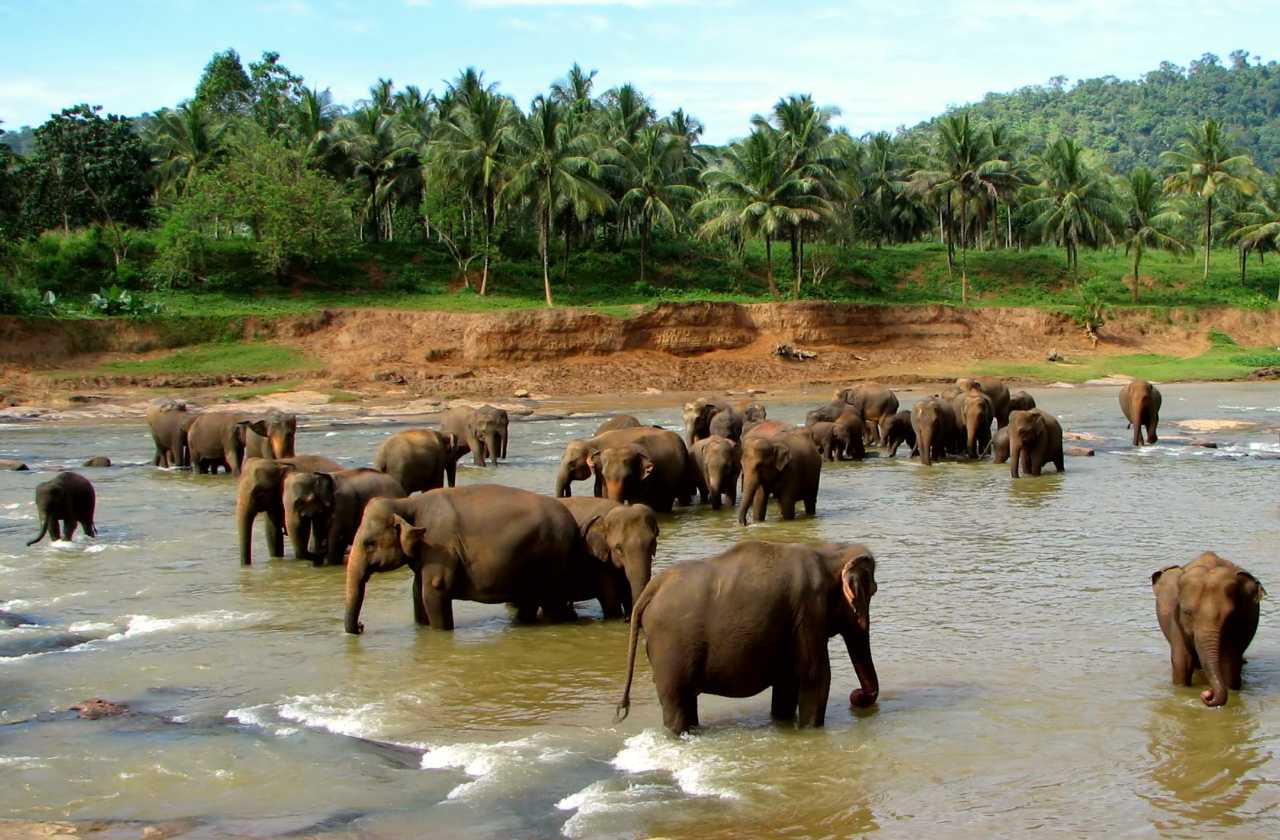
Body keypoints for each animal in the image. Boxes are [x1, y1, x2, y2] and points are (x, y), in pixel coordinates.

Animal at [344, 485, 583, 634]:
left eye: (369, 544)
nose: (361, 626)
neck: (406, 504)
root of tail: (572, 522)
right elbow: (418, 592)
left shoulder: (440, 547)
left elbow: (434, 591)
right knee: (530, 600)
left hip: (551, 558)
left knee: (550, 601)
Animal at [616, 540, 879, 735]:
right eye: (873, 591)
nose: (857, 695)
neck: (829, 553)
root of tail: (652, 589)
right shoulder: (809, 612)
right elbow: (816, 678)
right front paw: (809, 731)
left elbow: (786, 683)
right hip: (670, 649)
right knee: (676, 702)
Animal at [1152, 551, 1265, 708]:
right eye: (1187, 613)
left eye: (1229, 615)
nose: (1207, 694)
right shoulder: (1175, 620)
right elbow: (1182, 661)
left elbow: (1229, 662)